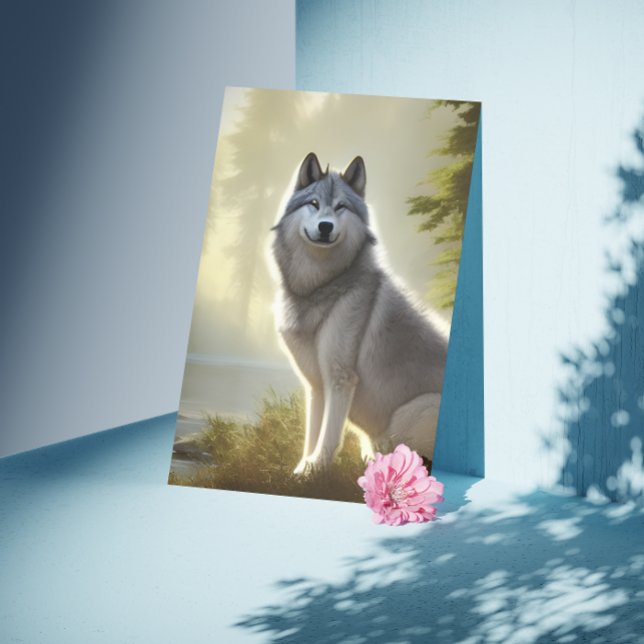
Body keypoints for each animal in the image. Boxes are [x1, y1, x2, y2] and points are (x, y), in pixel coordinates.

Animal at [271, 152, 449, 474]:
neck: (321, 287)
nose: (325, 226)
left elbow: (329, 435)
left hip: (404, 418)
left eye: (341, 206)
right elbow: (312, 434)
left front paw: (316, 469)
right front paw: (302, 470)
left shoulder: (340, 378)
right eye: (314, 203)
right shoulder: (316, 384)